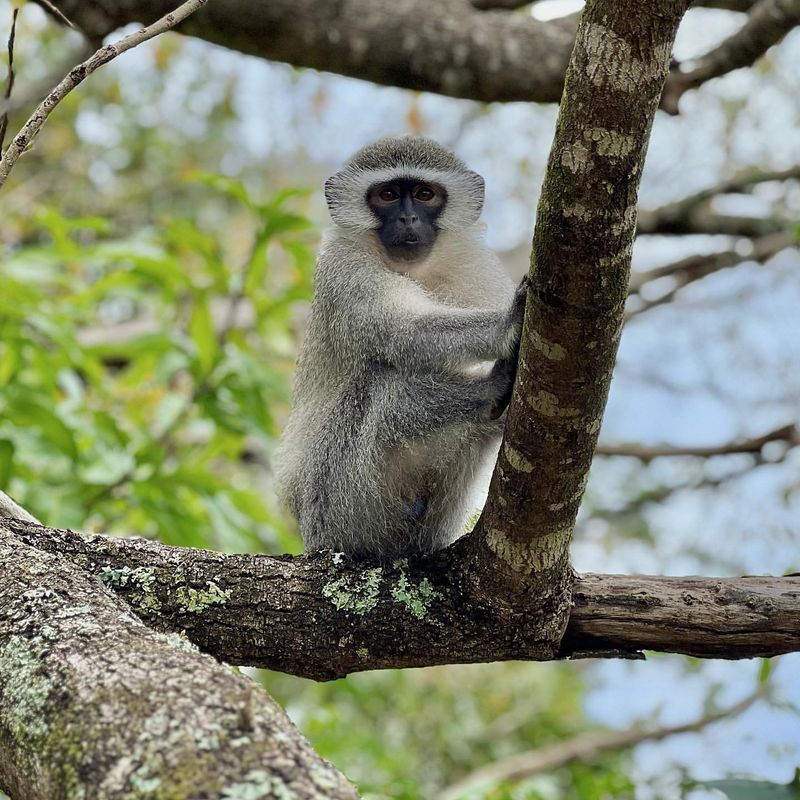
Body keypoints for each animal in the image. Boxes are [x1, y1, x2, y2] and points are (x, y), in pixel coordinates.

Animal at [272, 138, 528, 560]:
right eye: (387, 195)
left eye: (425, 194)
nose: (408, 219)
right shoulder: (343, 268)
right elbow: (401, 330)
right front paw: (508, 325)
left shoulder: (479, 269)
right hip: (336, 503)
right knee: (382, 380)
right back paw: (490, 393)